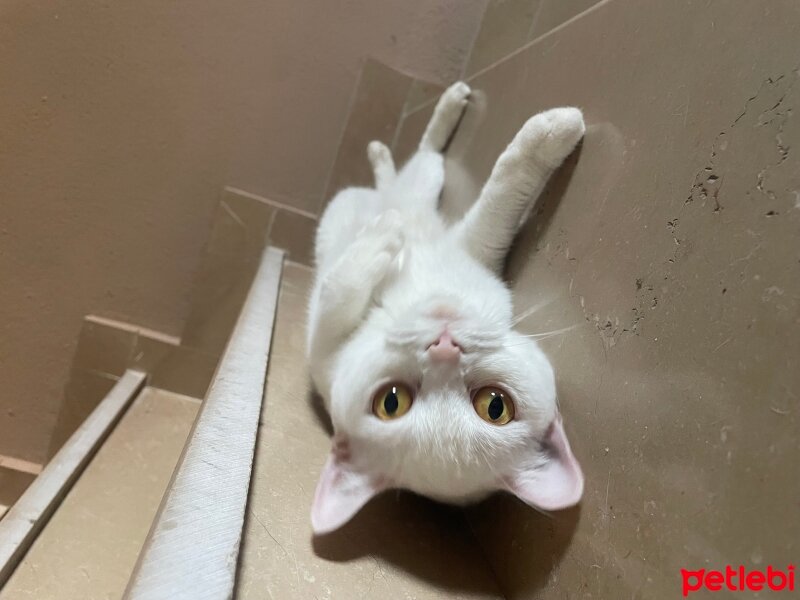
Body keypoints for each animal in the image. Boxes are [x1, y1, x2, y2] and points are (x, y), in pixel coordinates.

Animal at [306, 81, 588, 536]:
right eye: (392, 402)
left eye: (494, 406)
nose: (444, 345)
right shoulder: (321, 344)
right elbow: (501, 192)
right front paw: (554, 130)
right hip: (418, 184)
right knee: (420, 162)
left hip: (418, 185)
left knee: (417, 165)